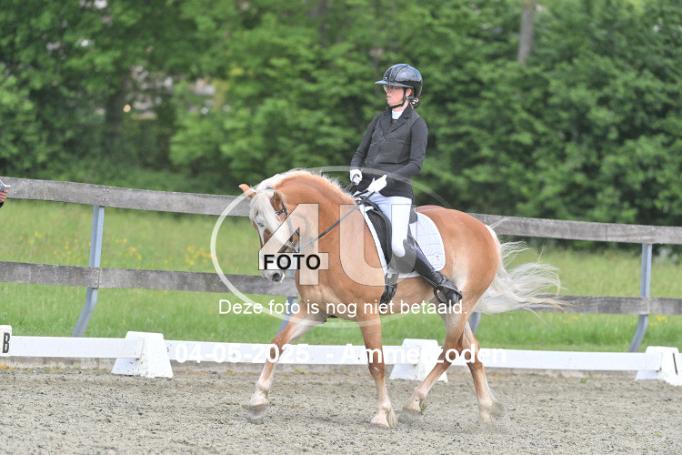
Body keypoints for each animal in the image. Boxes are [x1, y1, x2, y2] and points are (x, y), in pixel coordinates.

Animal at [238, 169, 559, 428]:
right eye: (256, 225)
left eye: (277, 219)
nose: (271, 273)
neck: (334, 239)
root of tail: (485, 229)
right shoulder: (313, 310)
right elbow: (276, 345)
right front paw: (257, 401)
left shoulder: (367, 313)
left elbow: (376, 364)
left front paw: (383, 414)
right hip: (447, 303)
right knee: (471, 351)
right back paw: (486, 413)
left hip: (462, 304)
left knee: (451, 350)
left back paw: (414, 404)